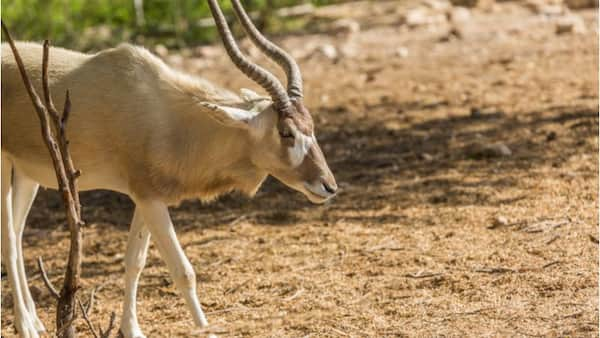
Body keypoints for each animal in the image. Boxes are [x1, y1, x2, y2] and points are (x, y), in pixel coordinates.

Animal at [0, 1, 338, 336]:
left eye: (310, 126)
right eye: (286, 132)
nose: (329, 186)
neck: (169, 116)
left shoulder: (147, 196)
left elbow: (134, 261)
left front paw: (131, 329)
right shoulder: (149, 199)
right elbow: (183, 270)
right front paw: (205, 329)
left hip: (29, 174)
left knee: (16, 233)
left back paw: (33, 320)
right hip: (4, 166)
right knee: (8, 241)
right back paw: (25, 326)